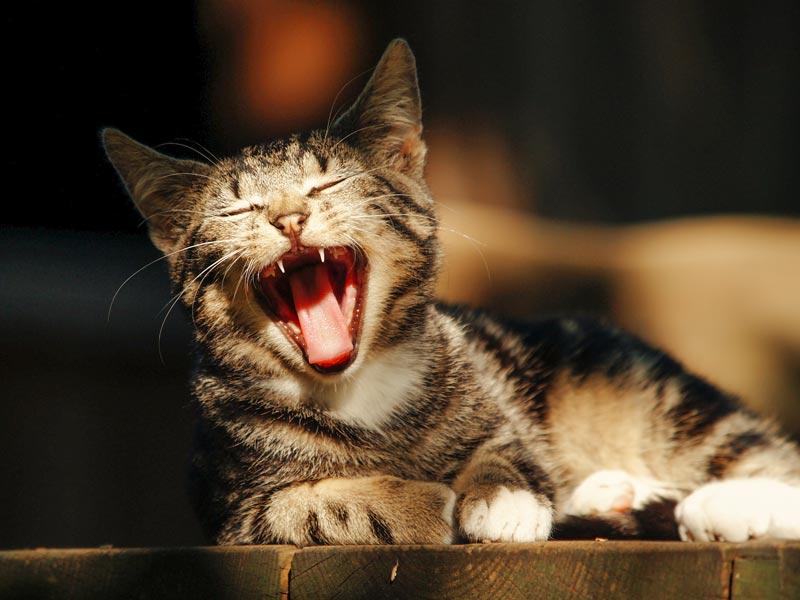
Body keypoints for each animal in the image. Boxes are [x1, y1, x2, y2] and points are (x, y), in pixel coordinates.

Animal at [103, 39, 800, 546]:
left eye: (328, 185)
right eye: (238, 208)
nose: (287, 216)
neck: (359, 392)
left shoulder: (501, 408)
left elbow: (507, 451)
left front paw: (500, 497)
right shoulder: (233, 506)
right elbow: (312, 506)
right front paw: (418, 501)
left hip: (652, 394)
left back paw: (722, 504)